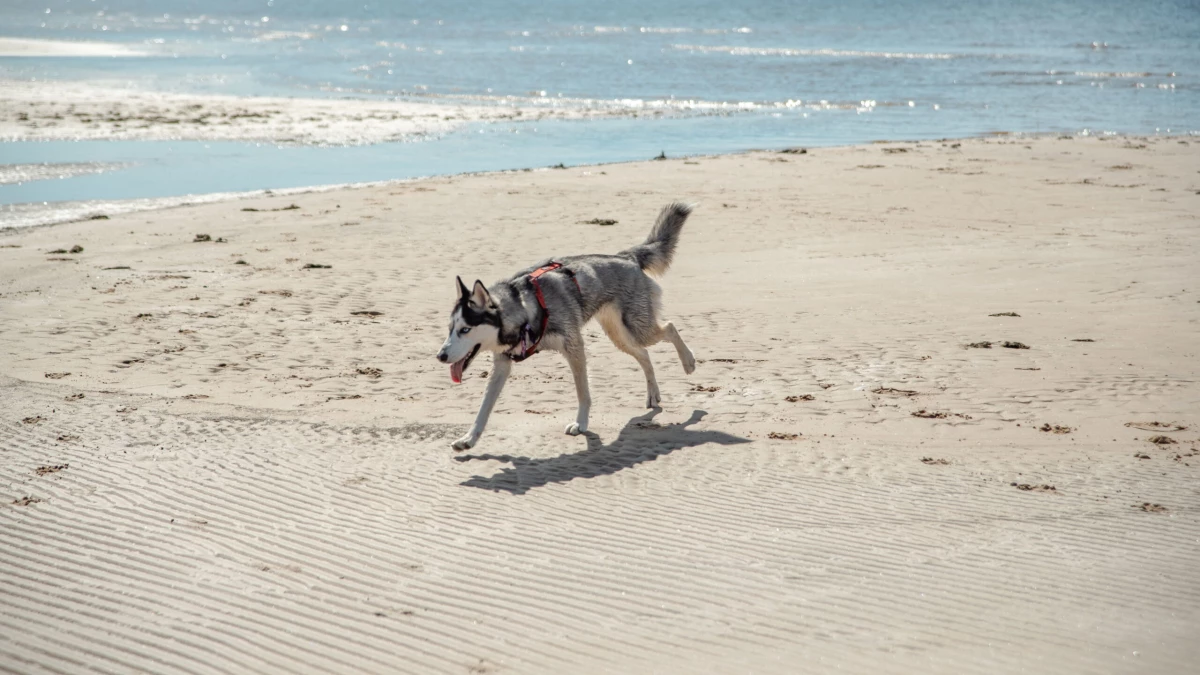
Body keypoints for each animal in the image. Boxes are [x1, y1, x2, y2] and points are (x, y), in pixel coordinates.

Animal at [439, 201, 700, 449]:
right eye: (451, 329)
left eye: (465, 330)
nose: (440, 356)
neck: (522, 307)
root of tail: (626, 257)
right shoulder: (502, 365)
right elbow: (484, 408)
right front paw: (469, 439)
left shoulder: (574, 347)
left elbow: (583, 392)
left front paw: (581, 423)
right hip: (620, 336)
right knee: (644, 354)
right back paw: (653, 394)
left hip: (638, 328)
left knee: (669, 327)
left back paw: (688, 362)